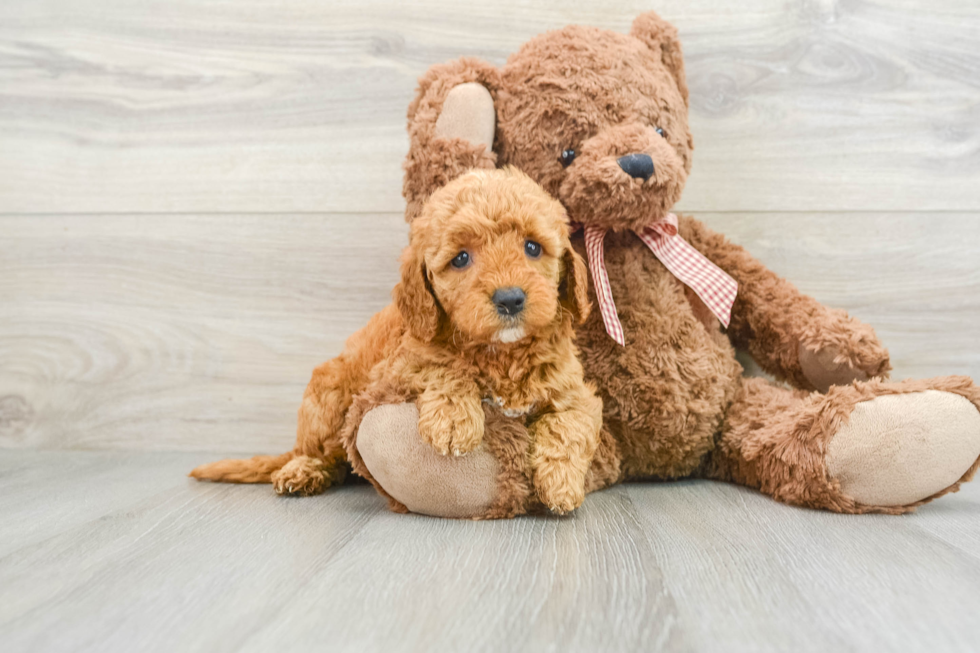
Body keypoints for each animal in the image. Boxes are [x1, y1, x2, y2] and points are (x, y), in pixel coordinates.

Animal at [191, 168, 600, 516]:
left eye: (533, 247)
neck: (502, 352)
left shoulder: (573, 390)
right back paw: (302, 471)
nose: (510, 299)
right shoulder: (398, 368)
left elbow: (571, 424)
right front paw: (454, 420)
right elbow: (444, 366)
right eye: (461, 258)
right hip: (329, 395)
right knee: (323, 454)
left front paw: (561, 482)